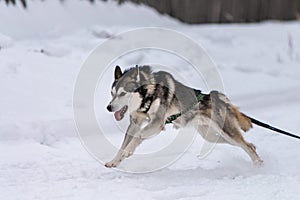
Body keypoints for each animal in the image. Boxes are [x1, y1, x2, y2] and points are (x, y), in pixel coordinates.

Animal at [105, 65, 262, 167]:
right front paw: (114, 160)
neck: (149, 93)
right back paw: (254, 152)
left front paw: (129, 150)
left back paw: (259, 165)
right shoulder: (135, 123)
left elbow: (138, 136)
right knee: (248, 145)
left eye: (123, 93)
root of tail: (219, 98)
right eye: (112, 93)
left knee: (246, 146)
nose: (109, 107)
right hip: (213, 136)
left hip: (226, 132)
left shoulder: (157, 123)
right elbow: (124, 144)